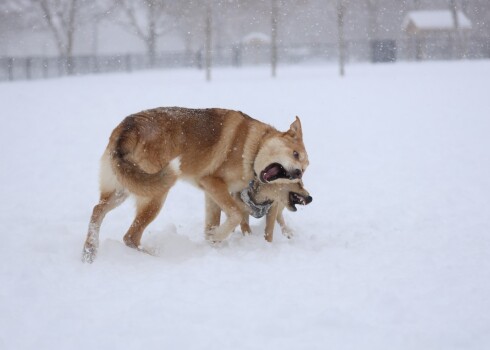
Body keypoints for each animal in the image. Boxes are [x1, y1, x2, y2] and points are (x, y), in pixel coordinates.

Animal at [82, 107, 308, 262]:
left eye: (304, 170)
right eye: (295, 154)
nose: (298, 172)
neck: (253, 148)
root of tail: (128, 128)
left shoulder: (211, 194)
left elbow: (215, 221)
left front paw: (214, 242)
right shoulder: (212, 182)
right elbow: (236, 214)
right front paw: (217, 236)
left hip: (125, 188)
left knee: (97, 211)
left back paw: (89, 251)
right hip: (157, 194)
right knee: (130, 236)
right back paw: (154, 256)